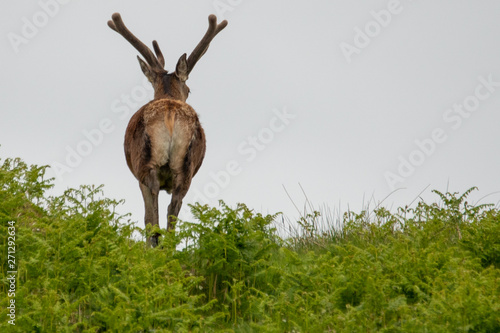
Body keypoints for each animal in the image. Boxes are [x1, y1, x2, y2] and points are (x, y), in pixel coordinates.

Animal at [107, 12, 229, 246]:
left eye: (189, 90)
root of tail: (171, 111)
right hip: (186, 167)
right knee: (174, 206)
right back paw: (168, 246)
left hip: (145, 160)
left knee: (152, 206)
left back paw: (155, 243)